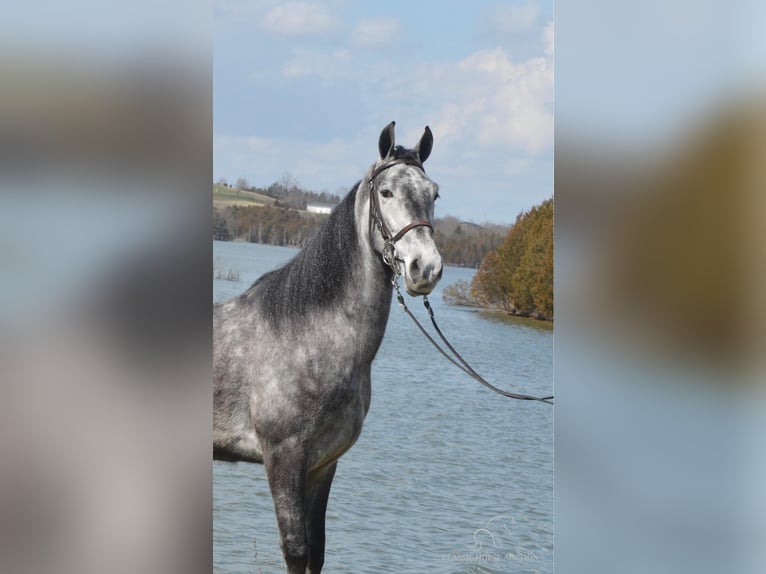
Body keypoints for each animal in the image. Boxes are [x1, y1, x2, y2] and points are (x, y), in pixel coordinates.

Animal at [214, 122, 444, 574]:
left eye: (434, 193)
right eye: (386, 192)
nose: (425, 268)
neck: (308, 337)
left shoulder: (323, 465)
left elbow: (316, 551)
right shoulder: (283, 458)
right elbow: (296, 550)